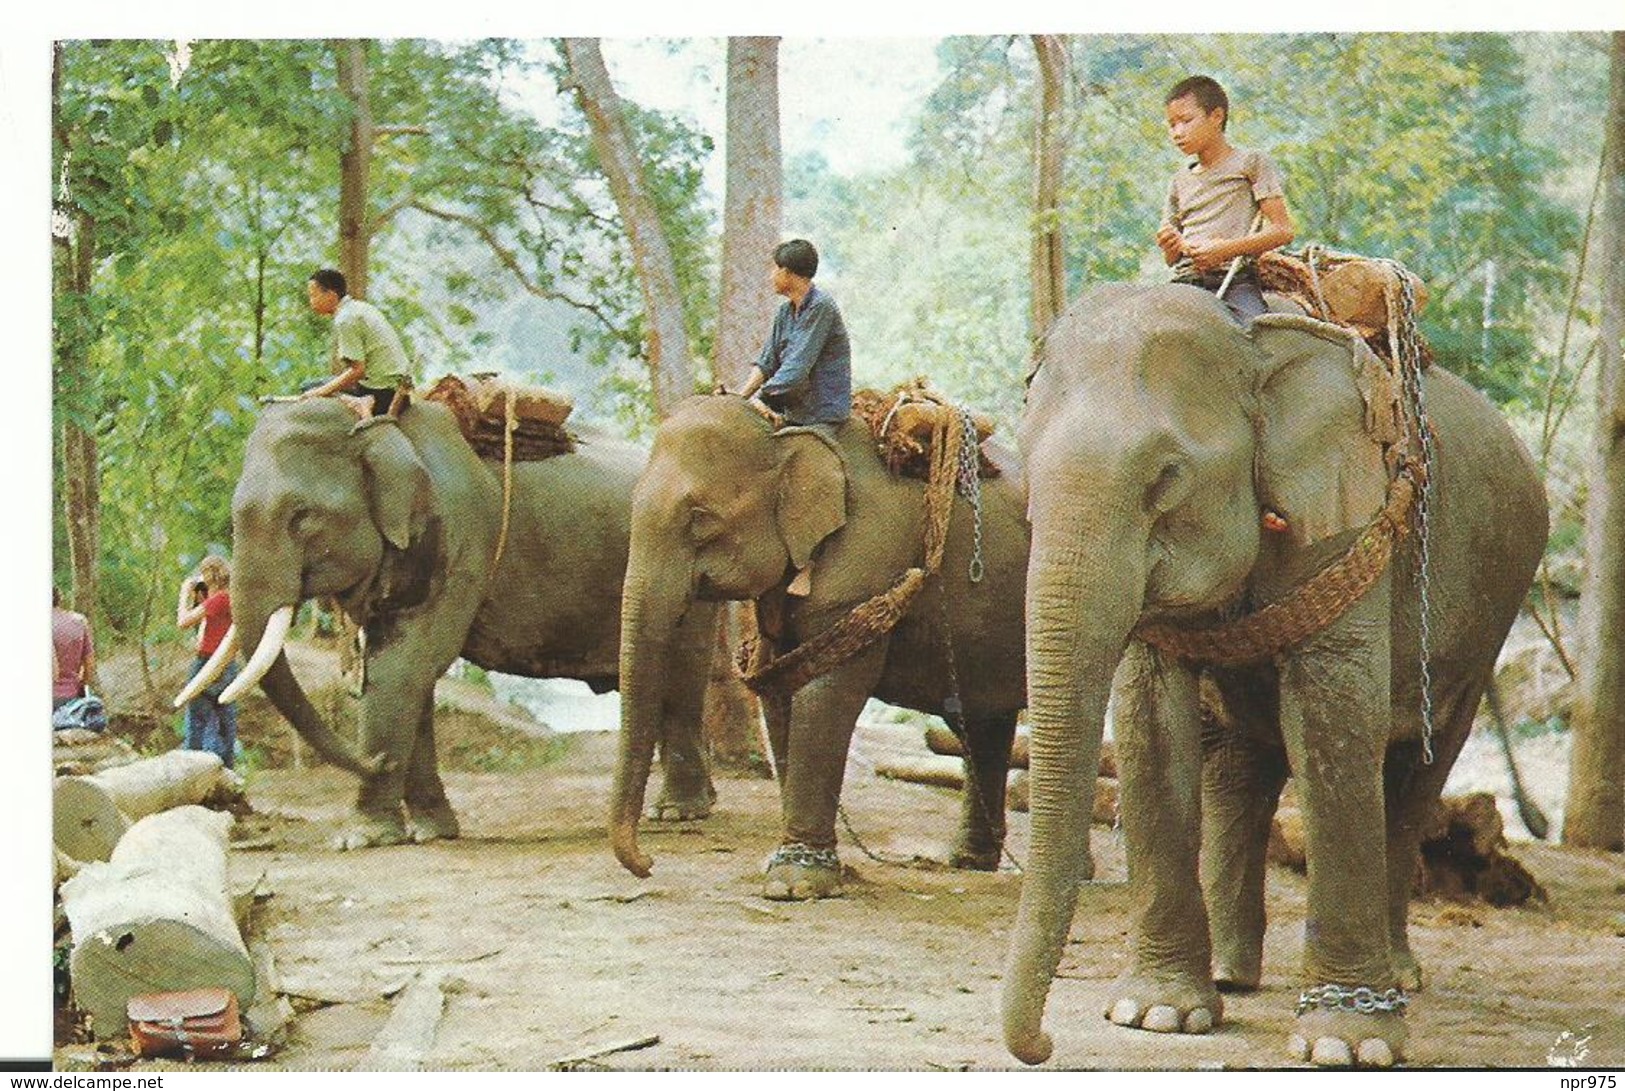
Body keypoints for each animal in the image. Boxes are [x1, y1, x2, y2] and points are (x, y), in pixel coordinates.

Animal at [182, 396, 718, 851]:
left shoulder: (460, 539)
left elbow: (404, 667)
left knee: (681, 680)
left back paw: (679, 812)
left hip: (689, 571)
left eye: (302, 517)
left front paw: (360, 839)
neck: (381, 428)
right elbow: (406, 677)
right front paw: (431, 832)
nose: (376, 761)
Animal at [611, 396, 1027, 897]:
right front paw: (789, 867)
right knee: (986, 722)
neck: (786, 436)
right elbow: (781, 687)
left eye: (699, 519)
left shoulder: (865, 558)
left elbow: (827, 694)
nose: (647, 864)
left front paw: (794, 884)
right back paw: (968, 861)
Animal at [1001, 286, 1547, 1073]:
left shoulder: (1347, 516)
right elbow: (1149, 720)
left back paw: (1398, 975)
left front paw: (1345, 1042)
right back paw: (1233, 973)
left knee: (1418, 769)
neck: (1249, 342)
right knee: (1239, 762)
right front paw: (1158, 1014)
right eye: (1024, 472)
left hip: (1491, 610)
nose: (1042, 1046)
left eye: (1165, 478)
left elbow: (1331, 716)